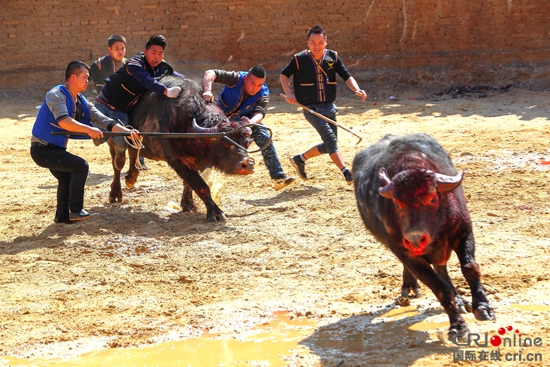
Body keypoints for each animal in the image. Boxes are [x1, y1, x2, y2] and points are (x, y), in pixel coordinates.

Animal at [109, 75, 256, 221]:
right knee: (118, 164)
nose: (247, 164)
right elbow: (201, 185)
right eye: (224, 143)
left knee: (133, 152)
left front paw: (188, 204)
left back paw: (130, 179)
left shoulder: (201, 161)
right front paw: (215, 212)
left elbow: (189, 183)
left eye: (247, 143)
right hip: (113, 140)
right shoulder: (177, 161)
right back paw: (115, 193)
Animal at [356, 134, 498, 338]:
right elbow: (440, 288)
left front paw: (483, 308)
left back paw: (460, 301)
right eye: (397, 203)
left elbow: (470, 268)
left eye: (432, 198)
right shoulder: (405, 252)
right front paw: (458, 327)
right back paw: (410, 286)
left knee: (442, 268)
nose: (415, 239)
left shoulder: (464, 231)